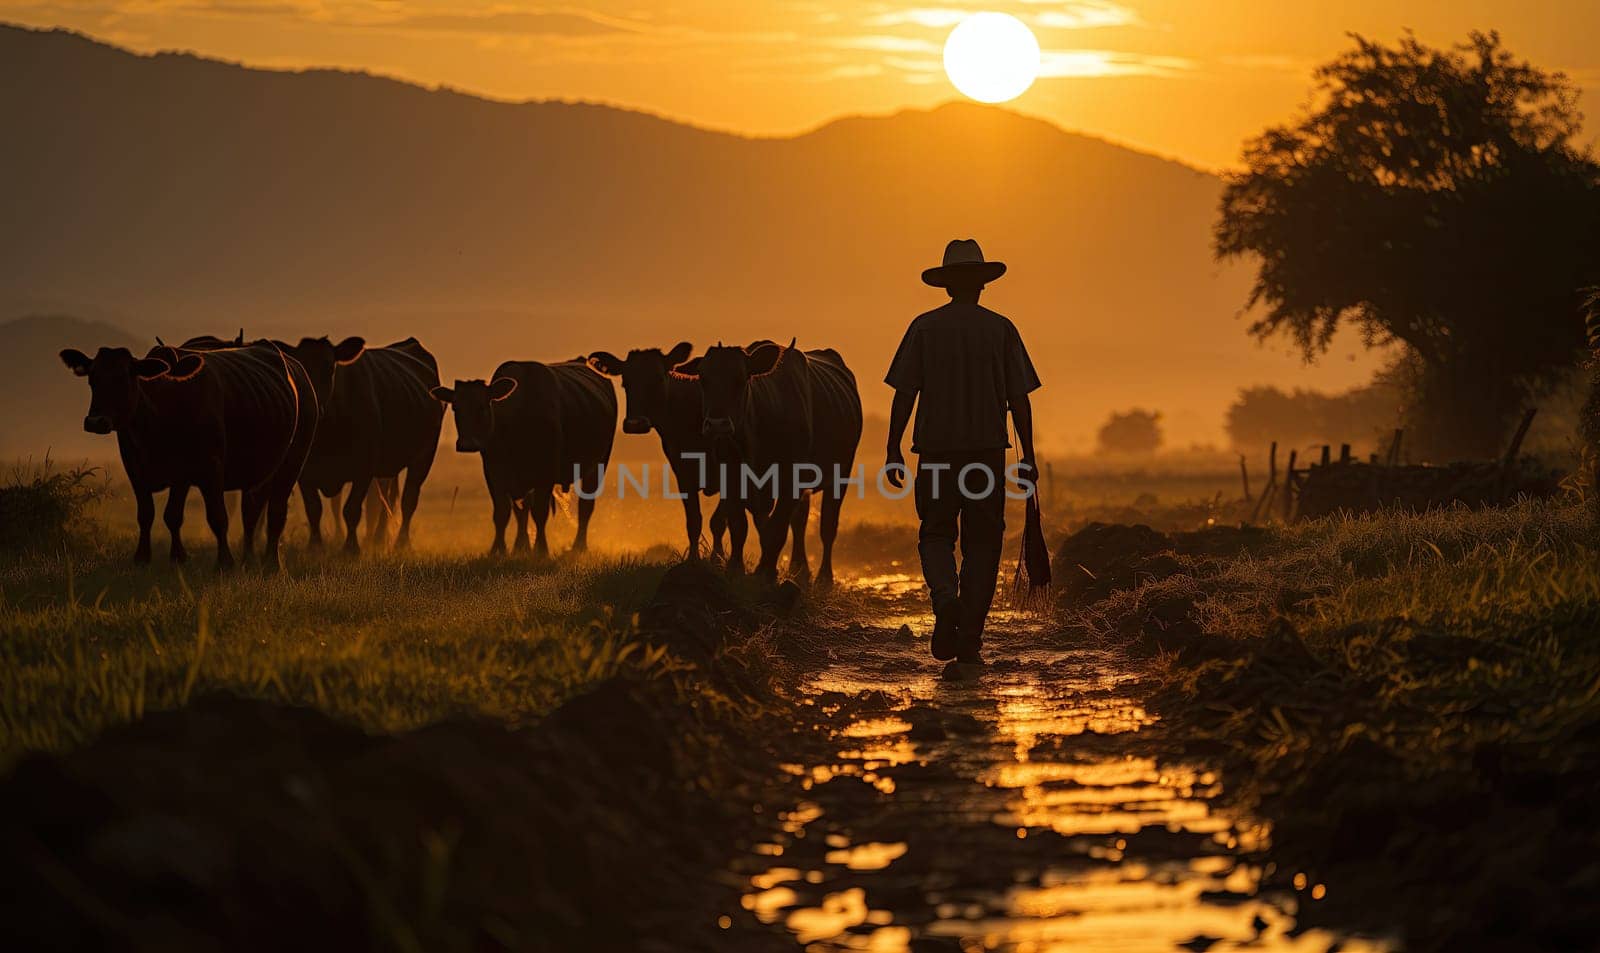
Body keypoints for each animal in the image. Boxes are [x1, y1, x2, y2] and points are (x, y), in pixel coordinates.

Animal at [62, 340, 318, 569]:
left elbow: (216, 516)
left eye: (123, 379)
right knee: (251, 512)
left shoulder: (207, 466)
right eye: (92, 379)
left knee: (276, 511)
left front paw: (224, 562)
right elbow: (151, 514)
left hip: (294, 459)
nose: (95, 421)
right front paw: (150, 558)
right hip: (260, 469)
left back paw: (271, 563)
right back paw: (249, 559)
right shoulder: (137, 467)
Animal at [276, 338, 444, 553]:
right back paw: (379, 539)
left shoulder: (364, 468)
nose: (315, 405)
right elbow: (314, 509)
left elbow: (351, 510)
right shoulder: (304, 472)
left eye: (330, 368)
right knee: (385, 501)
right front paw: (315, 546)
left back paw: (401, 543)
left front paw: (351, 548)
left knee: (408, 500)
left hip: (424, 457)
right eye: (300, 368)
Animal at [432, 358, 617, 553]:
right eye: (456, 407)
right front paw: (501, 550)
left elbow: (539, 512)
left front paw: (540, 550)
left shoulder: (545, 473)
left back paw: (579, 546)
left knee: (585, 507)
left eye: (483, 406)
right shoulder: (494, 472)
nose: (467, 443)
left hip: (598, 465)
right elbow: (504, 512)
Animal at [675, 338, 864, 585]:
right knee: (798, 521)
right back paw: (799, 569)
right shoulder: (732, 478)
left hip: (841, 474)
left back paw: (824, 578)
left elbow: (775, 529)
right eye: (703, 379)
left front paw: (766, 574)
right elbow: (740, 526)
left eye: (741, 379)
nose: (716, 424)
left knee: (827, 526)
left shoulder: (789, 480)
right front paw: (736, 569)